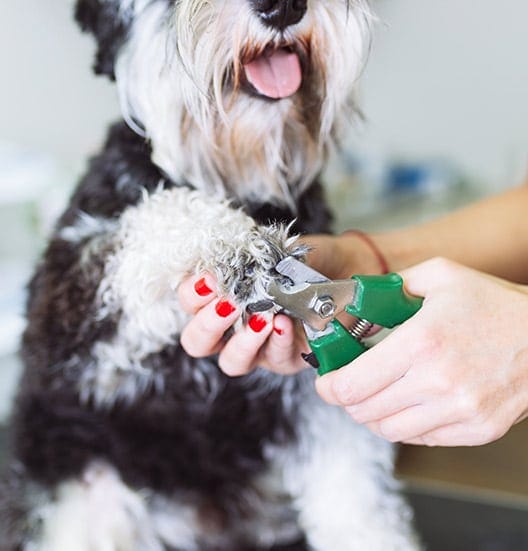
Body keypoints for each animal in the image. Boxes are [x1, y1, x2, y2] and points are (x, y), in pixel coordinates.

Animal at [1, 2, 420, 548]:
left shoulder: (318, 404)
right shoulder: (72, 313)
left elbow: (358, 505)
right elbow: (161, 215)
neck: (237, 177)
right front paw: (237, 248)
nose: (282, 8)